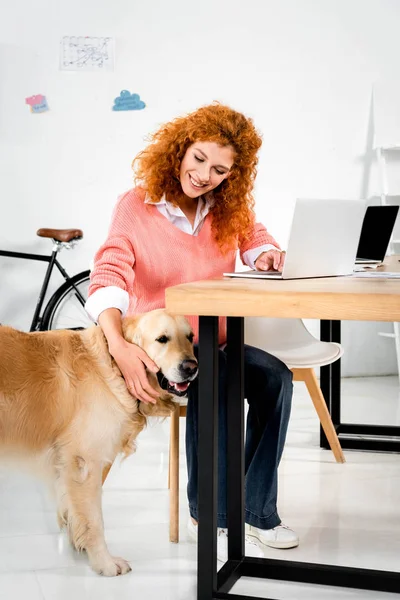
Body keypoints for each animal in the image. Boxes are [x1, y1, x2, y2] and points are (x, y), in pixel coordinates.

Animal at [0, 310, 198, 576]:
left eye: (190, 336)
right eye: (162, 339)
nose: (191, 367)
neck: (115, 368)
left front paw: (79, 544)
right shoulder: (85, 462)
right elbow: (94, 520)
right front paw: (105, 562)